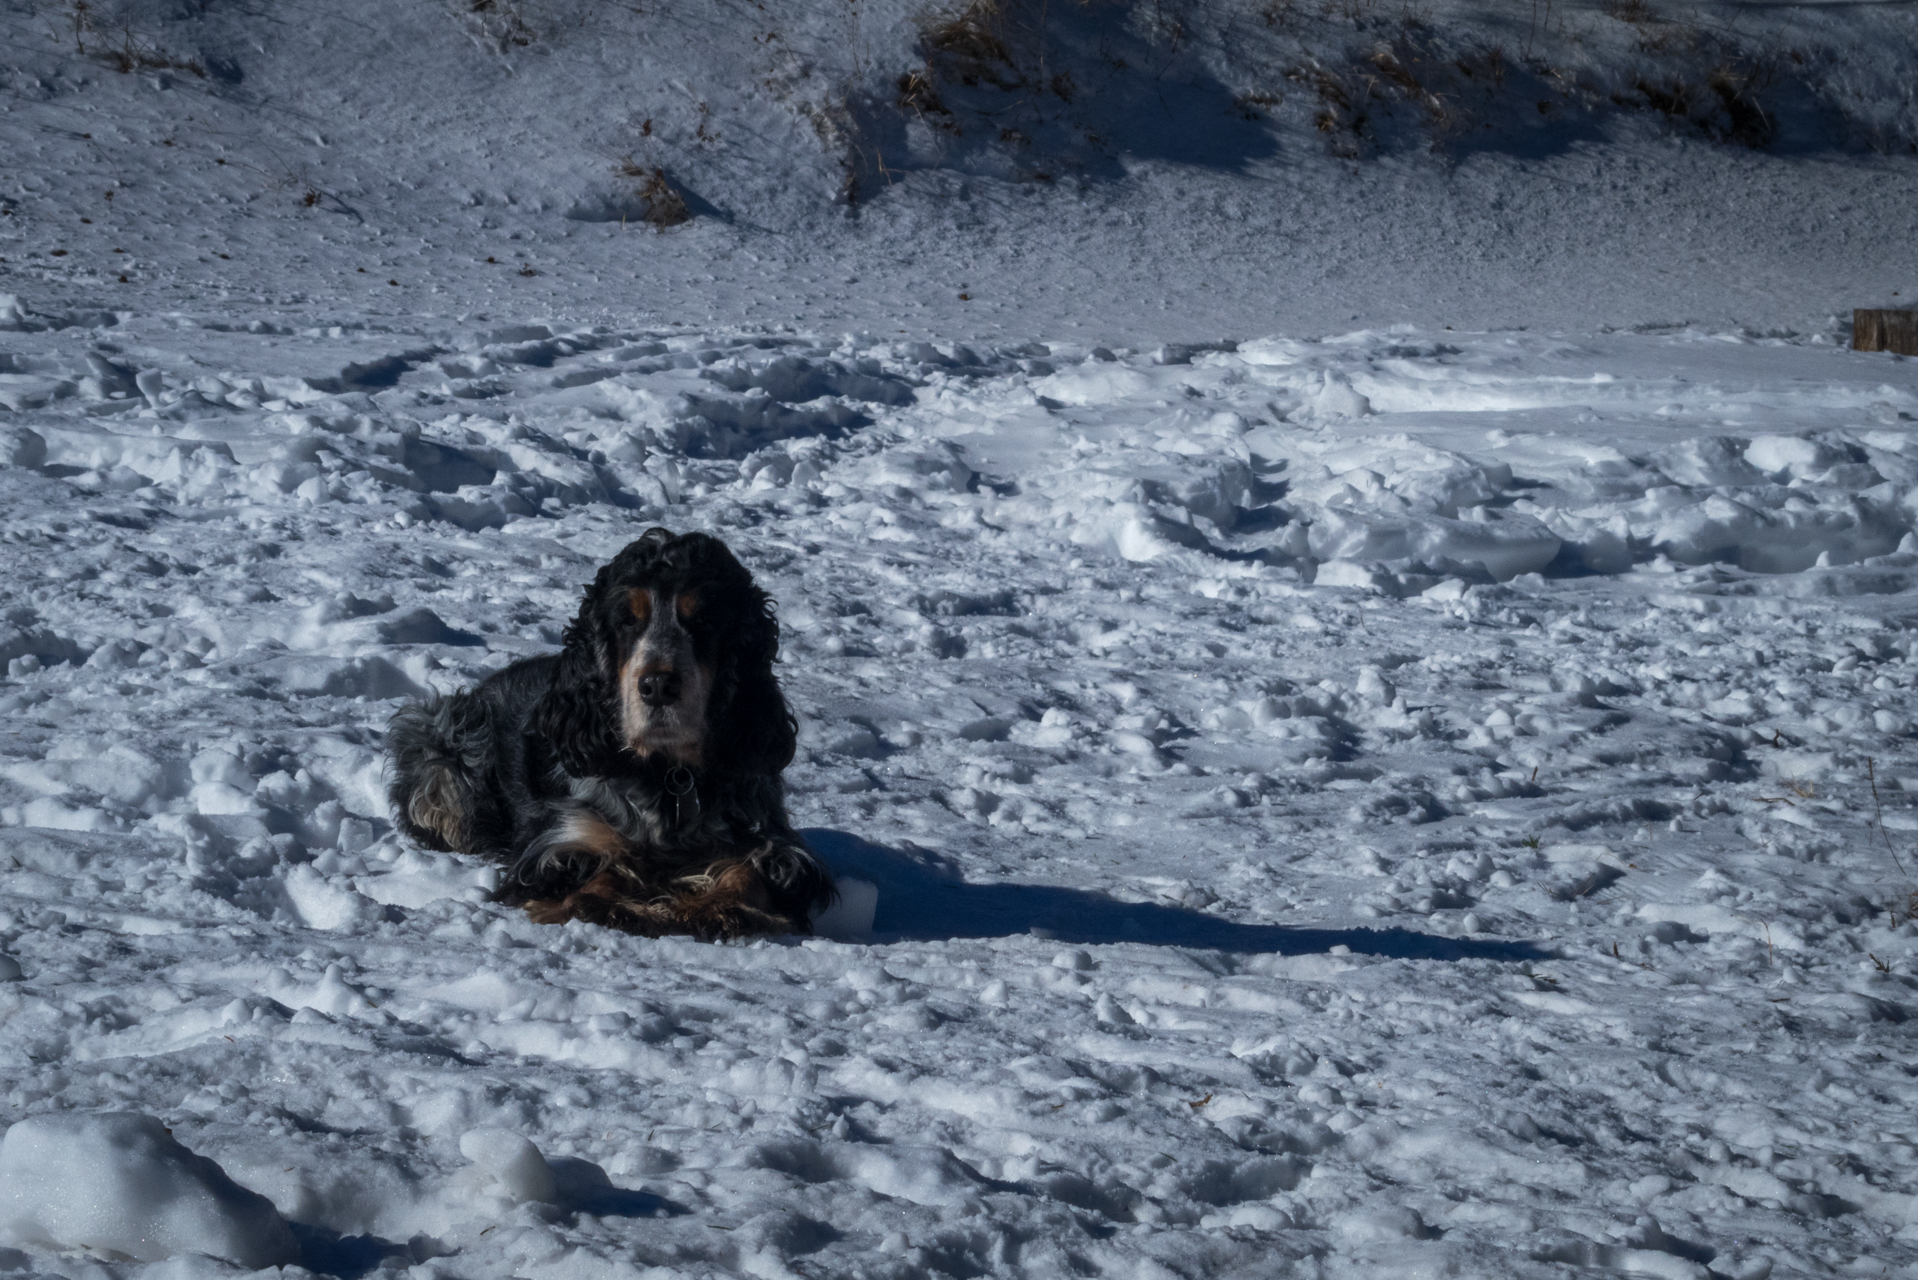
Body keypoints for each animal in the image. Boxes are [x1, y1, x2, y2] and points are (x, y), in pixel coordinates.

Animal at [385, 529, 836, 940]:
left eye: (705, 622)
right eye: (627, 621)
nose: (658, 685)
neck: (668, 774)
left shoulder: (772, 840)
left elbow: (753, 871)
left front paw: (718, 906)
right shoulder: (560, 841)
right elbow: (601, 863)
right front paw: (610, 903)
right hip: (442, 738)